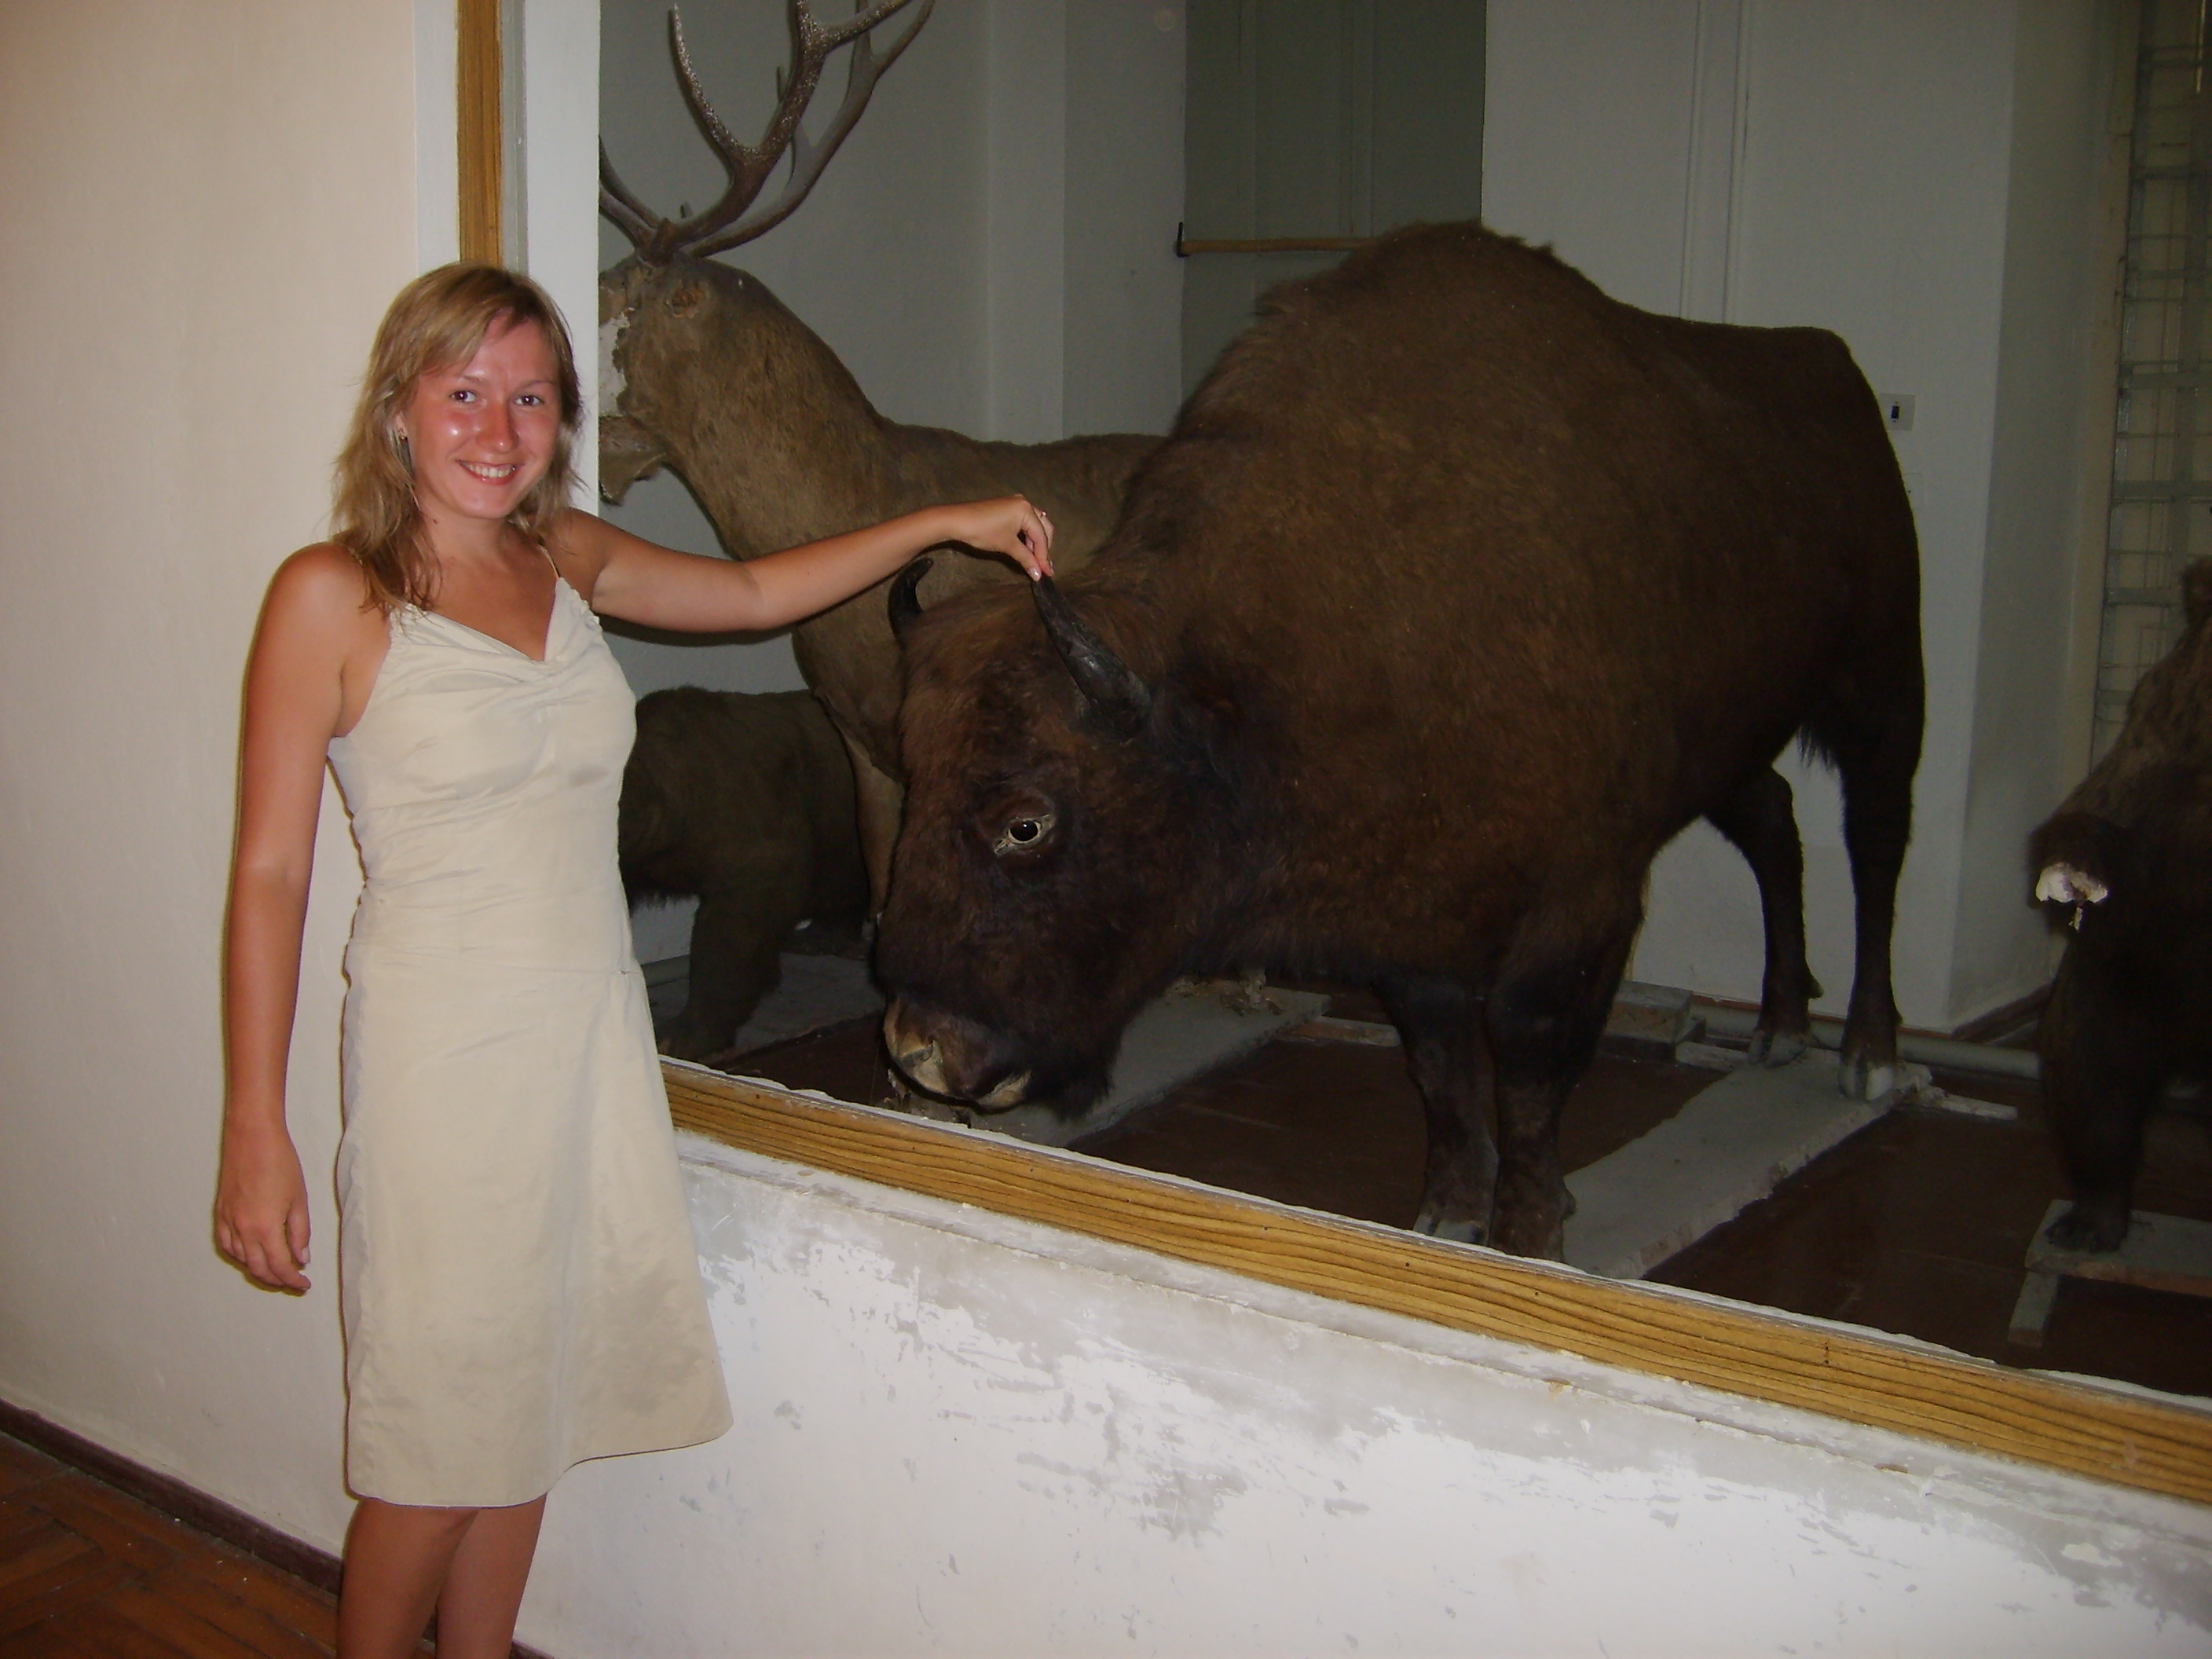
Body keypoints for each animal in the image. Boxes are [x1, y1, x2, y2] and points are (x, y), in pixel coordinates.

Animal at [875, 222, 1925, 1261]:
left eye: (1026, 824)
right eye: (911, 780)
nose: (919, 1047)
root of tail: (1830, 369)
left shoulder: (1576, 903)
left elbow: (1527, 1058)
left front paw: (1527, 1229)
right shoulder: (1415, 920)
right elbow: (1440, 1060)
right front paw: (1449, 1211)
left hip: (1880, 687)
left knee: (1874, 843)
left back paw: (1867, 1054)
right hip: (1732, 742)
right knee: (1773, 824)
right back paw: (1778, 1026)